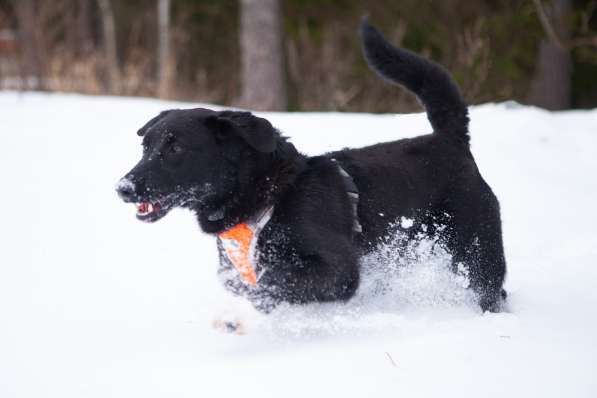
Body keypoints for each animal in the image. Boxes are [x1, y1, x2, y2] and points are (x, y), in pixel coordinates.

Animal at [117, 21, 508, 314]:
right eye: (146, 147)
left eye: (176, 148)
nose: (123, 187)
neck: (269, 196)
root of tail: (450, 139)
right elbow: (245, 284)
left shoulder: (339, 269)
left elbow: (276, 281)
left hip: (476, 250)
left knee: (492, 288)